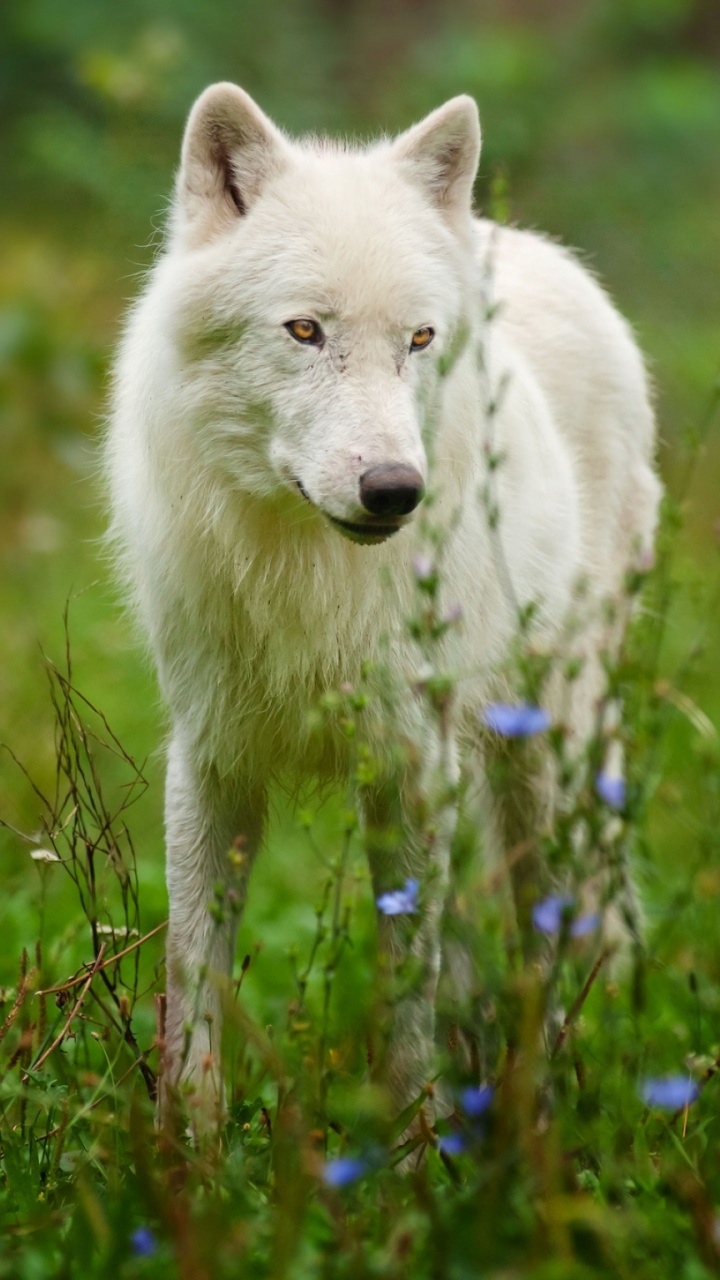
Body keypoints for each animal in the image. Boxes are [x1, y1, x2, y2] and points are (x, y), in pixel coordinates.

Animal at [106, 82, 661, 1124]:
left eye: (418, 339)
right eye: (305, 331)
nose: (395, 491)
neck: (306, 573)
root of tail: (519, 238)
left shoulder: (411, 762)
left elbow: (409, 982)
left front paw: (412, 1141)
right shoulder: (211, 756)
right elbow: (193, 971)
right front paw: (183, 1148)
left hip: (547, 757)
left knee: (550, 929)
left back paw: (549, 1089)